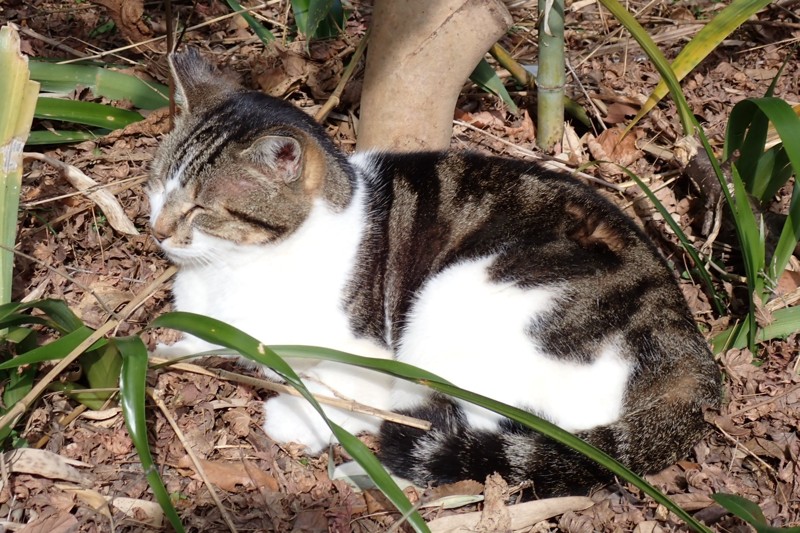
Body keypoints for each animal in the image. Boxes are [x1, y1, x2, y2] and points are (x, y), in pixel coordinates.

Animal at [147, 47, 720, 496]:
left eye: (200, 208)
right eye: (156, 186)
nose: (155, 229)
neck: (230, 268)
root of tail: (688, 351)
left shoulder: (367, 354)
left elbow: (344, 394)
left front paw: (297, 416)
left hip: (458, 302)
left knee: (462, 438)